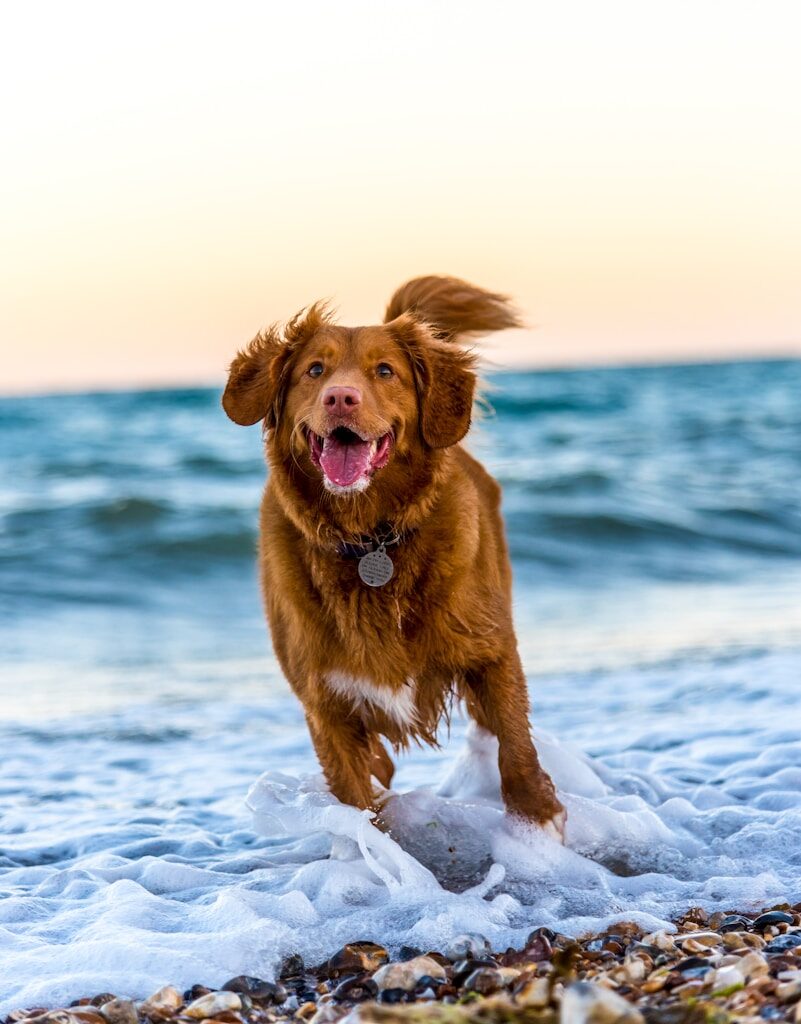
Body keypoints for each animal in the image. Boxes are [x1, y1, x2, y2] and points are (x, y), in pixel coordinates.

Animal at [222, 276, 569, 835]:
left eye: (385, 371)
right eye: (314, 370)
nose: (341, 397)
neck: (370, 540)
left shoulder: (491, 650)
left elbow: (515, 744)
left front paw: (538, 819)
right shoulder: (325, 703)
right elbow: (356, 800)